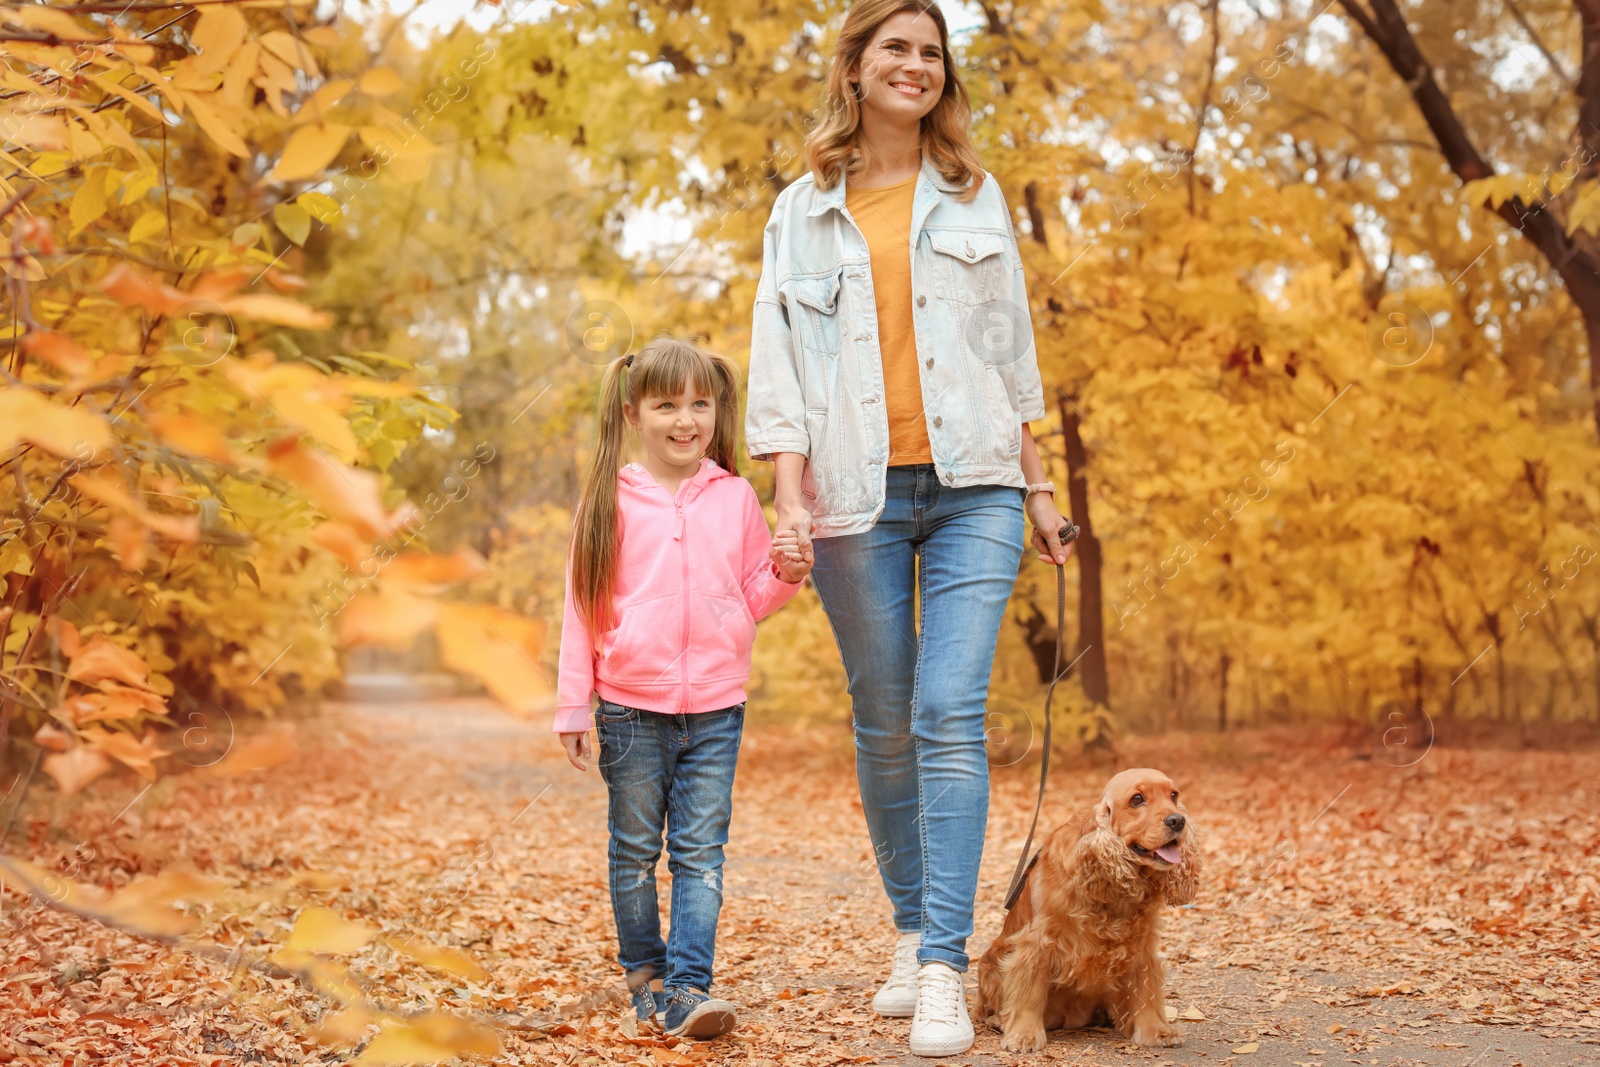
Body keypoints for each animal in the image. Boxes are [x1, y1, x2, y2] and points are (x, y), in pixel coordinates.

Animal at [972, 767, 1203, 1049]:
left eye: (1174, 795)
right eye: (1137, 799)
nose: (1178, 821)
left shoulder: (1143, 943)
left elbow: (1146, 988)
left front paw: (1156, 1030)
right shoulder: (1038, 942)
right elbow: (1031, 991)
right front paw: (1024, 1034)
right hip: (992, 962)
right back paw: (997, 1020)